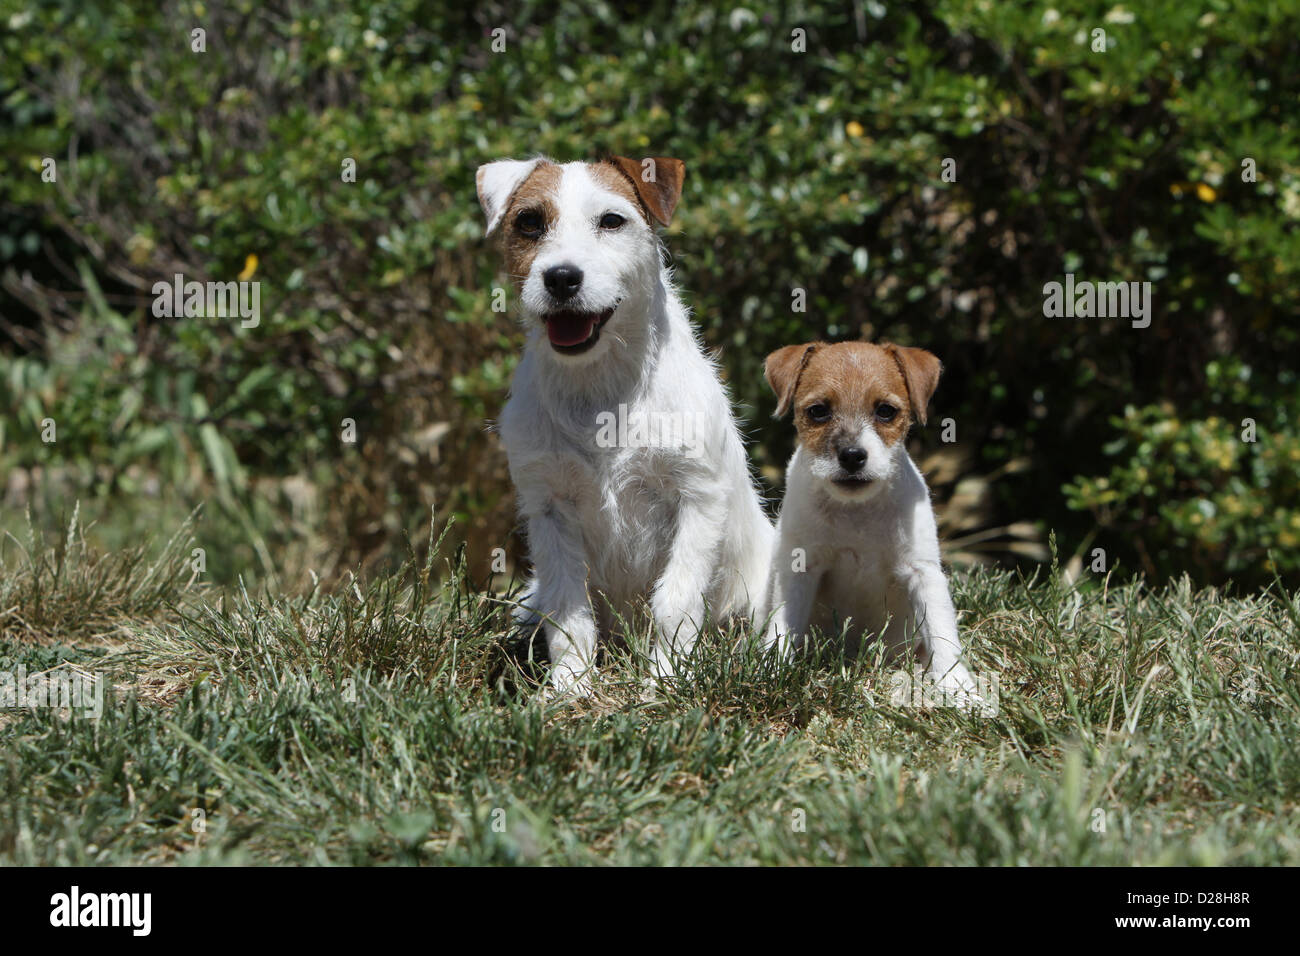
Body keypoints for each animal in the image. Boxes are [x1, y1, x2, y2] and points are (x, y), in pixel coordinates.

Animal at [483, 155, 774, 697]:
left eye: (612, 221)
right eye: (529, 222)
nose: (561, 278)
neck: (601, 387)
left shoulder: (697, 499)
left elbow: (675, 601)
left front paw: (666, 679)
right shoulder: (549, 508)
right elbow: (567, 609)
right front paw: (570, 685)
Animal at [759, 340, 977, 697]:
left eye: (885, 411)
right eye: (818, 411)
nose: (851, 456)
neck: (856, 512)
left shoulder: (923, 573)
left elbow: (943, 635)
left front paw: (959, 691)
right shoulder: (800, 567)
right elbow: (784, 624)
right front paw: (772, 668)